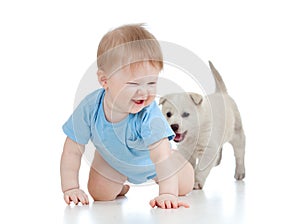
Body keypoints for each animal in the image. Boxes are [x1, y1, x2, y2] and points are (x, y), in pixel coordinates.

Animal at [161, 61, 245, 189]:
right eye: (168, 114)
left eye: (185, 114)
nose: (173, 126)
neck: (194, 134)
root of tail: (221, 93)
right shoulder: (185, 151)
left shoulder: (208, 149)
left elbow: (201, 169)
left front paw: (196, 182)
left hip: (237, 133)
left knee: (239, 154)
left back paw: (240, 172)